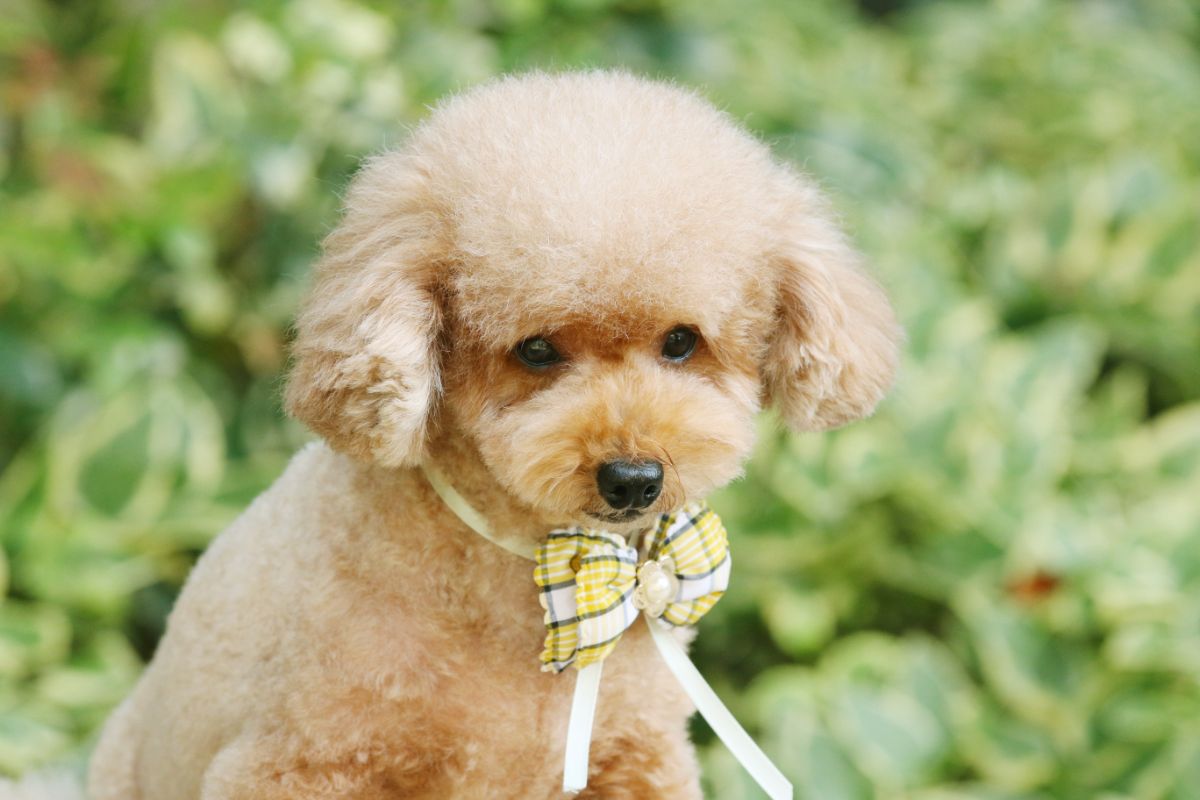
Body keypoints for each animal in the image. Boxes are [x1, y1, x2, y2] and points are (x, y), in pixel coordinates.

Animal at [88, 70, 902, 800]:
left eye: (681, 342)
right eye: (536, 350)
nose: (634, 478)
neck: (529, 572)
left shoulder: (635, 757)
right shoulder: (296, 764)